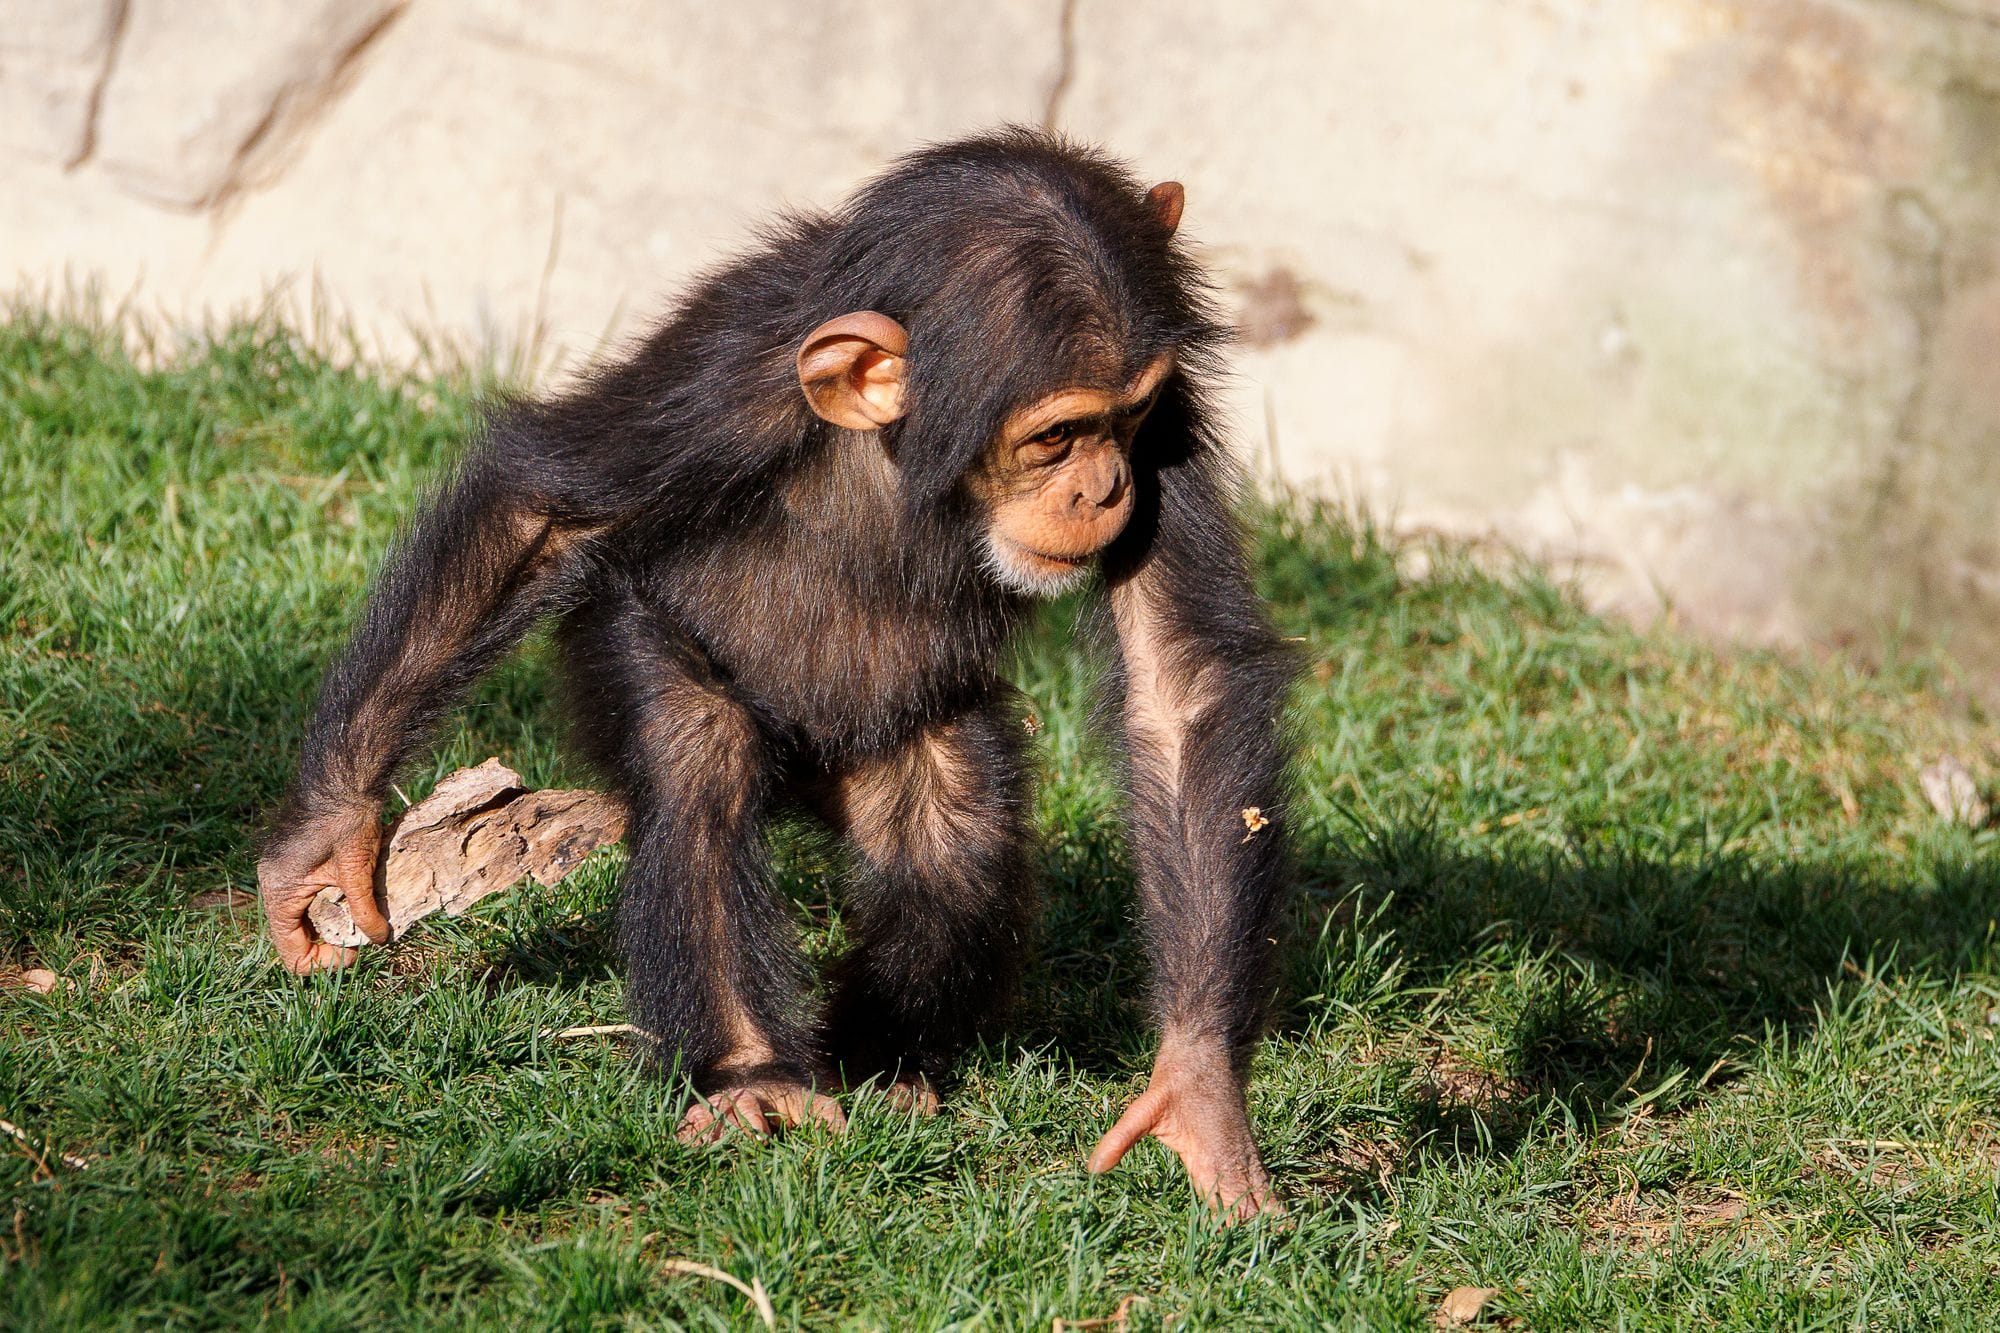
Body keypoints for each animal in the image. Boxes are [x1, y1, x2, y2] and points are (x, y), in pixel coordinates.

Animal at [256, 129, 1295, 1220]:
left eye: (1128, 420)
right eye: (1056, 435)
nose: (1105, 486)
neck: (900, 445)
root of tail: (805, 777)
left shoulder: (1176, 422)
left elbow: (1178, 679)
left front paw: (1196, 1087)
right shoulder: (721, 383)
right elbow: (541, 511)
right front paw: (324, 834)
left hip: (884, 746)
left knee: (951, 826)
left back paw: (883, 1067)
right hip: (626, 646)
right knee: (698, 759)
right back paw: (752, 1079)